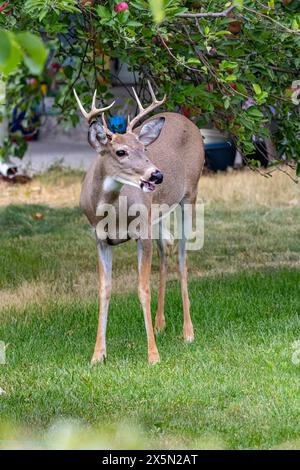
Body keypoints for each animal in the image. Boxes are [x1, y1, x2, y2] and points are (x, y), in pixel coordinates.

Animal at [73, 82, 204, 366]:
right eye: (120, 151)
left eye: (144, 150)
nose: (157, 174)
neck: (114, 214)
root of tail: (186, 120)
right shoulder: (100, 239)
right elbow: (104, 289)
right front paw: (97, 354)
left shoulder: (141, 232)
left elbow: (143, 288)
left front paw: (153, 355)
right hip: (156, 212)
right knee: (166, 247)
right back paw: (159, 324)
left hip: (190, 194)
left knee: (182, 256)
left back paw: (188, 331)